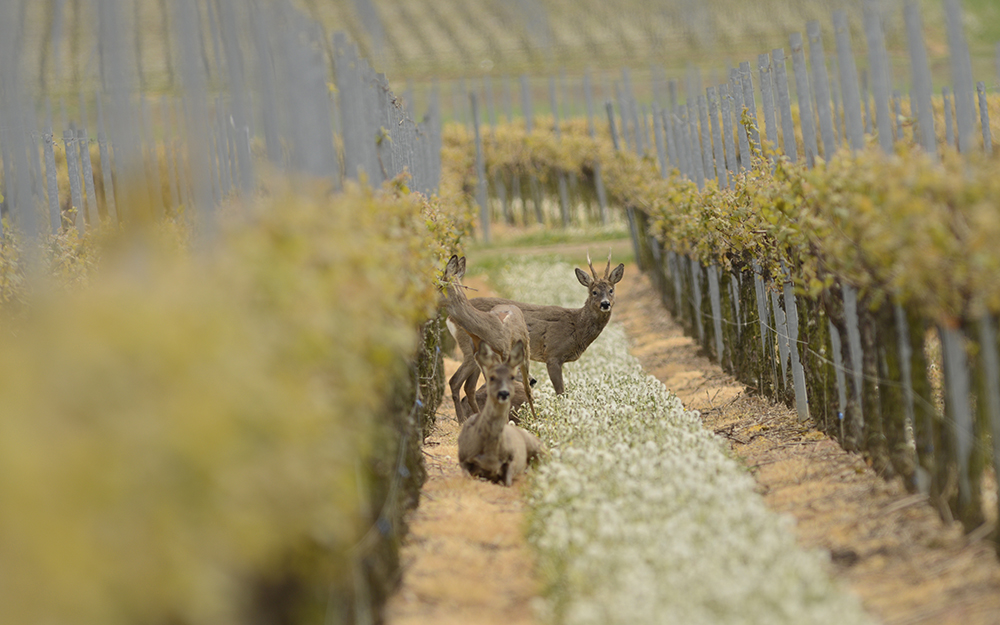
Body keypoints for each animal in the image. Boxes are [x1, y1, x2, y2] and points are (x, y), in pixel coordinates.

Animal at [454, 249, 624, 400]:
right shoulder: (553, 354)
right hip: (470, 349)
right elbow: (560, 392)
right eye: (594, 292)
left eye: (611, 290)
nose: (605, 304)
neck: (576, 327)